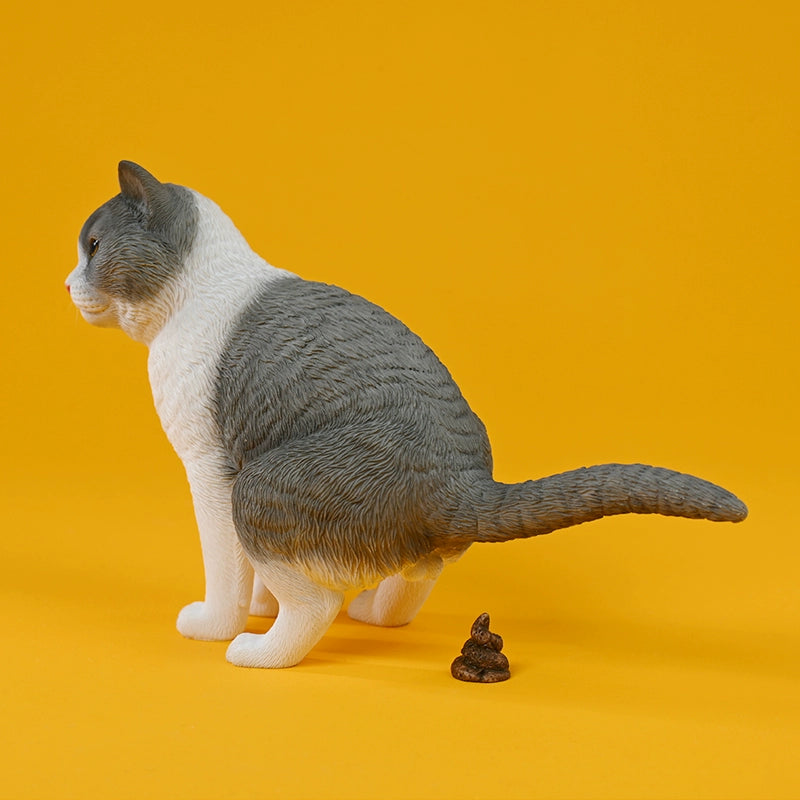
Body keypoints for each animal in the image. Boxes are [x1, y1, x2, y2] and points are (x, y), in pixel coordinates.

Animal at [65, 162, 748, 668]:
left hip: (262, 485)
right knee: (420, 570)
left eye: (94, 246)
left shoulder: (211, 466)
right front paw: (259, 604)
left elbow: (225, 565)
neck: (196, 290)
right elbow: (247, 570)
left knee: (315, 603)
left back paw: (258, 650)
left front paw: (218, 621)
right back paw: (369, 612)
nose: (67, 284)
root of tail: (459, 483)